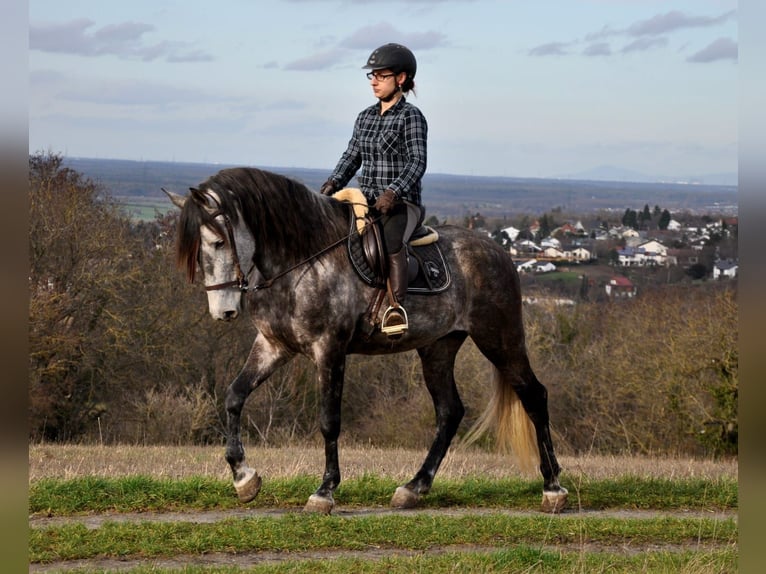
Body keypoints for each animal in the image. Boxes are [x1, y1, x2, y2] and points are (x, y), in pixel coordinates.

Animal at [165, 169, 568, 516]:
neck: (301, 263)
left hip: (499, 338)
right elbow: (235, 395)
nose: (223, 311)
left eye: (218, 242)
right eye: (196, 251)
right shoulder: (273, 346)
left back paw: (552, 487)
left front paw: (324, 491)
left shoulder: (330, 349)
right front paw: (243, 478)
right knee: (449, 411)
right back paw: (413, 488)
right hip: (438, 347)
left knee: (534, 396)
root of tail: (498, 252)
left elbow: (329, 420)